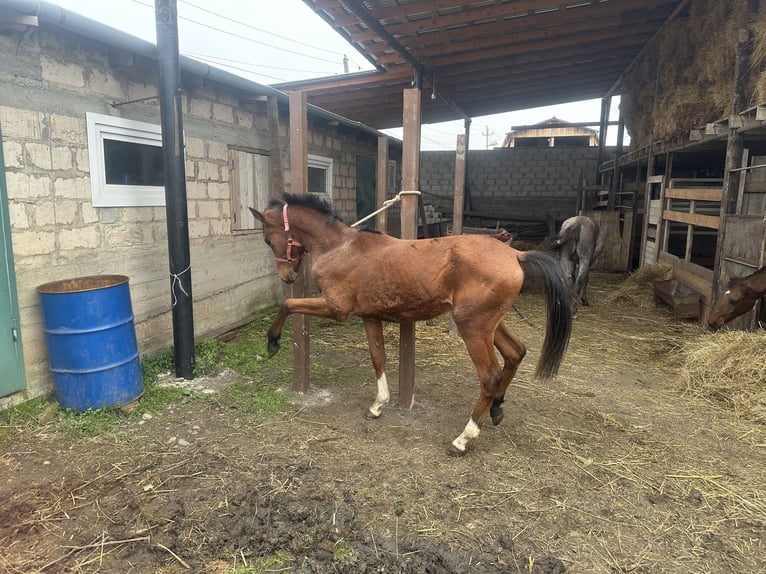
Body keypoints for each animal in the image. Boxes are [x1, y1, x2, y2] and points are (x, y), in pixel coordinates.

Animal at [250, 193, 573, 456]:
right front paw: (378, 405)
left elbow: (288, 305)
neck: (339, 248)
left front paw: (272, 342)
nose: (287, 277)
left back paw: (463, 438)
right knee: (516, 353)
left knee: (490, 375)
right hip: (491, 324)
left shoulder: (336, 308)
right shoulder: (370, 317)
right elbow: (378, 357)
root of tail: (515, 254)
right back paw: (496, 408)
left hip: (474, 328)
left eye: (268, 239)